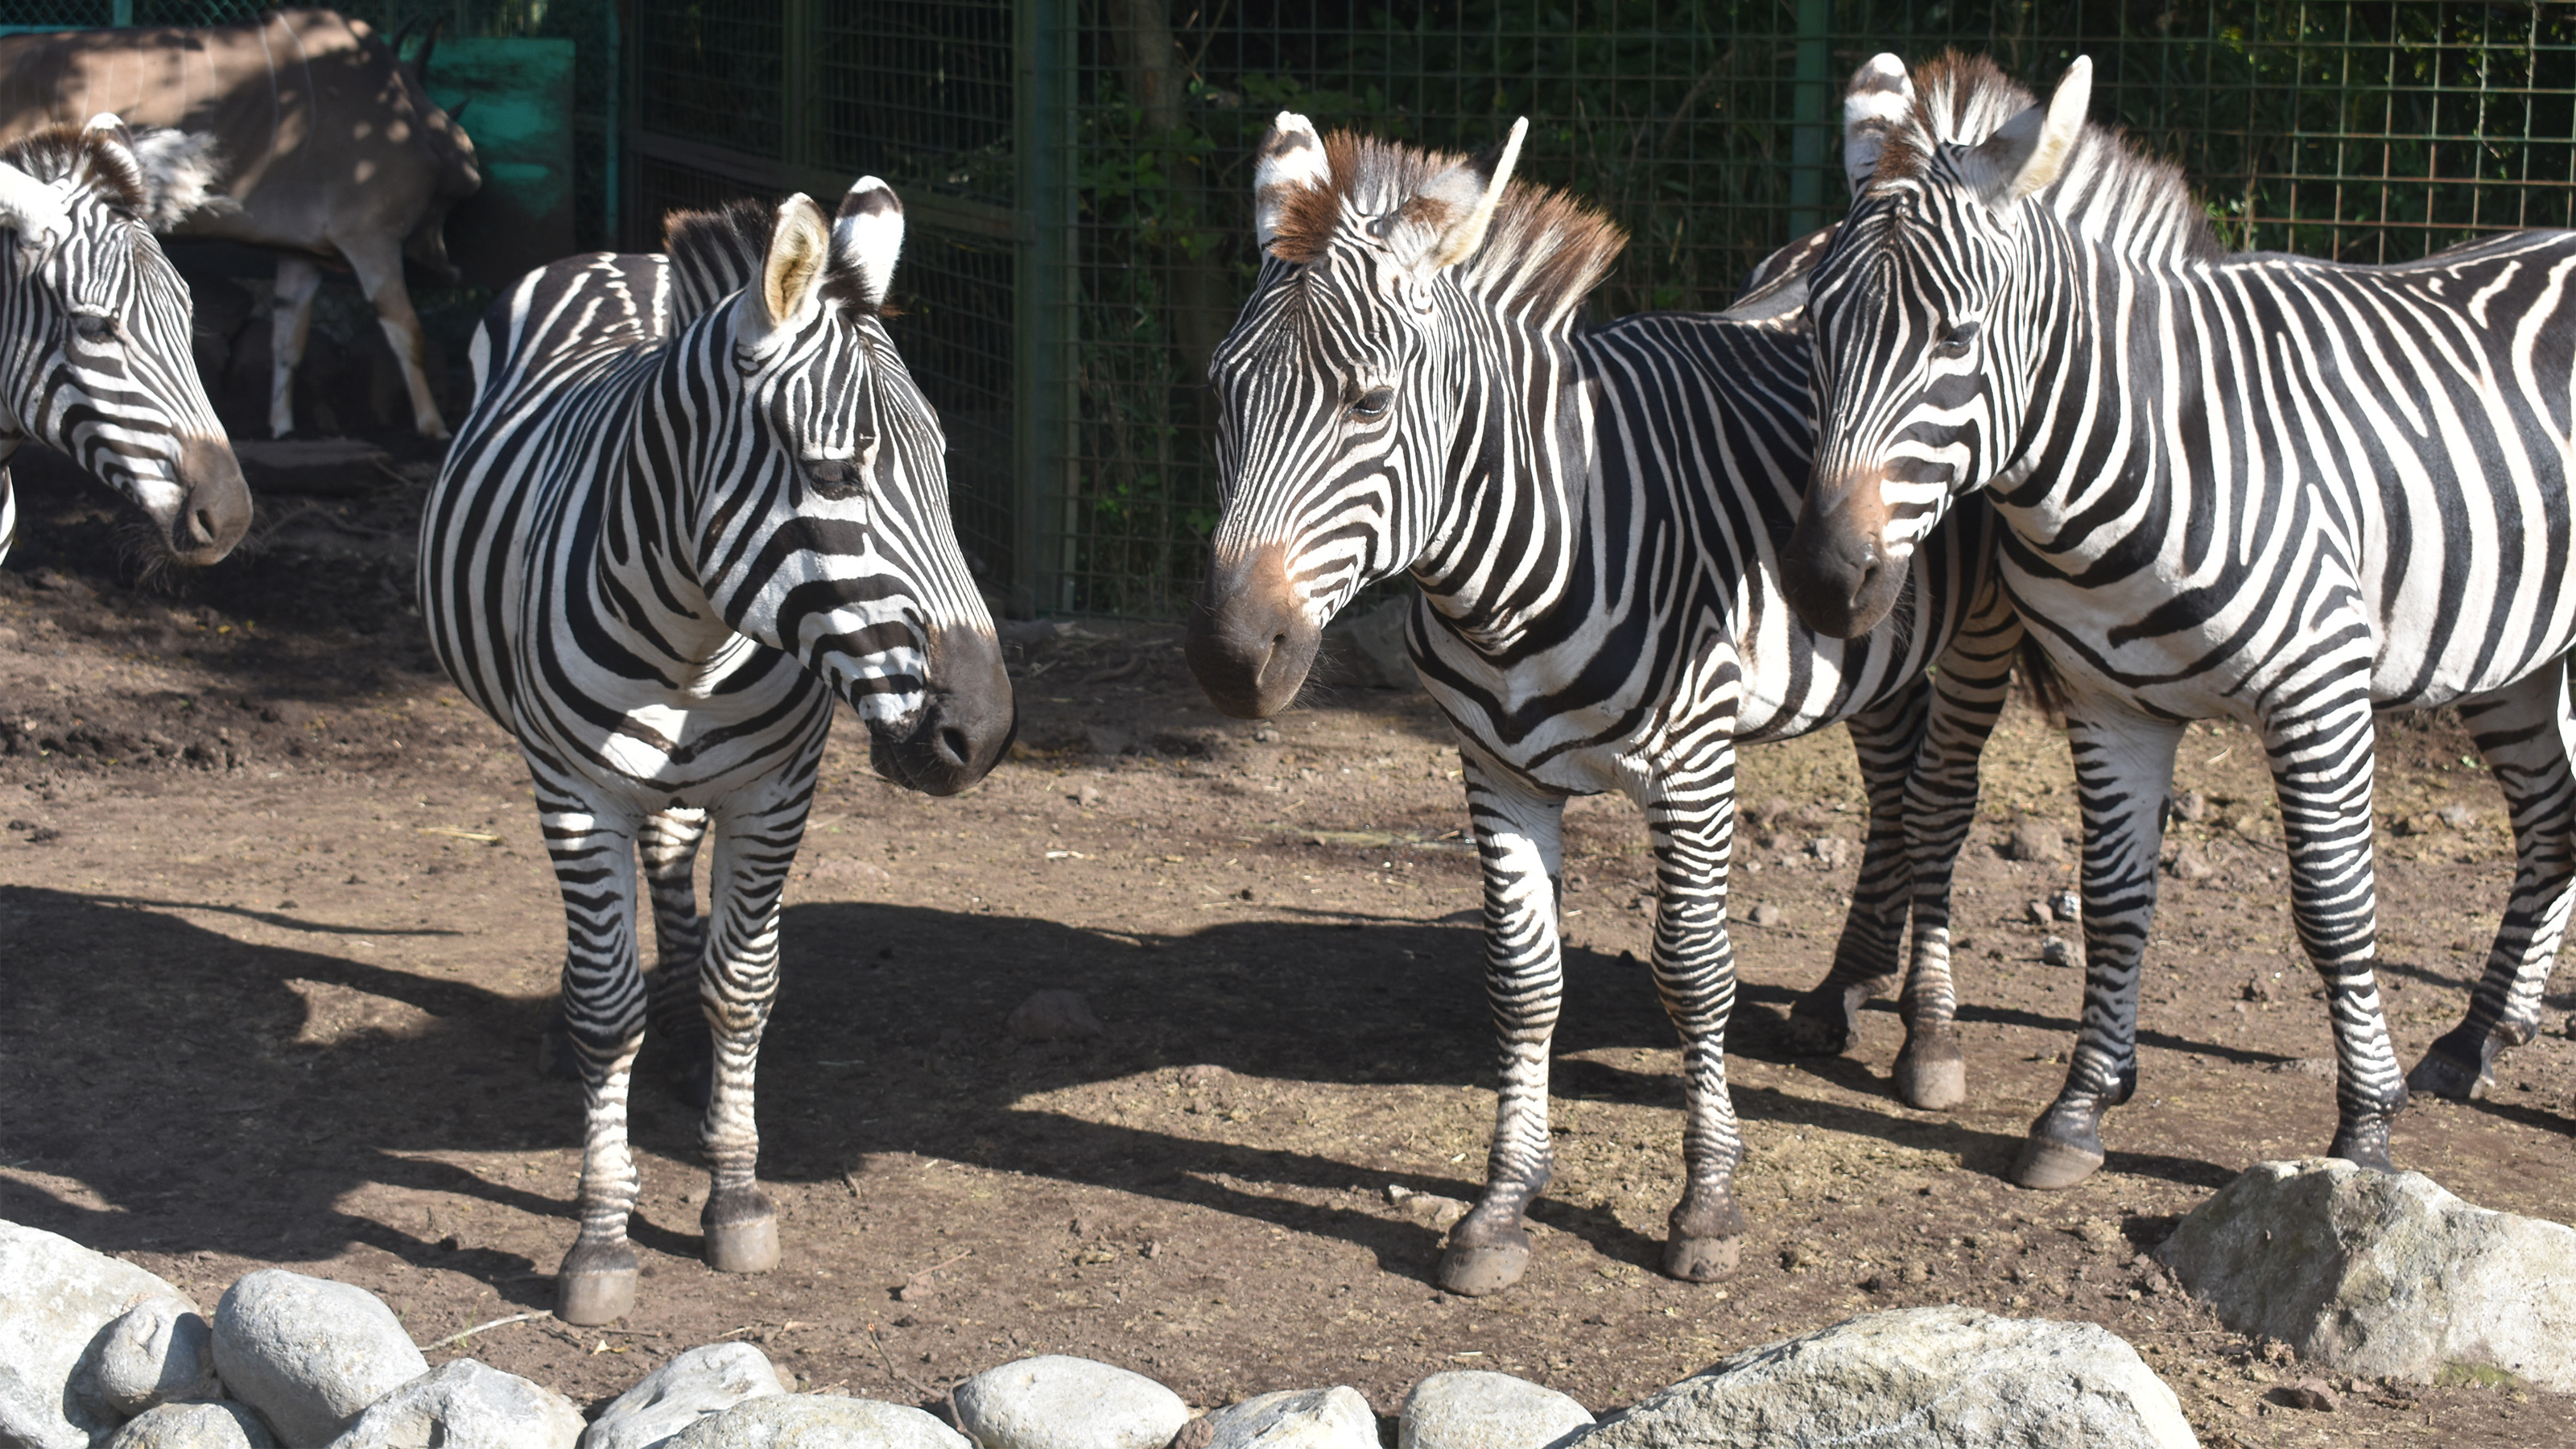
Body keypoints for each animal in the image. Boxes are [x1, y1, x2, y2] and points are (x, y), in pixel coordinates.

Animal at [417, 177, 1009, 1319]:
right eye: (834, 473)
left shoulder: (775, 789)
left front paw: (733, 1192)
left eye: (946, 473)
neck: (693, 634)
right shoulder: (575, 790)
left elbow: (743, 987)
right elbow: (606, 1004)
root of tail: (621, 257)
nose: (984, 732)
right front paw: (600, 1238)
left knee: (671, 860)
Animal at [1190, 113, 2029, 1284]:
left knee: (1943, 804)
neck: (1531, 555)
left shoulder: (1693, 769)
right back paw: (1841, 991)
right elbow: (1522, 981)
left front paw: (1707, 1206)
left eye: (1369, 403)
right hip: (1871, 635)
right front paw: (1501, 1207)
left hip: (1982, 626)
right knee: (1894, 794)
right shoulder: (1495, 772)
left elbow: (1695, 975)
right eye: (1218, 393)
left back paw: (1932, 1037)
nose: (1229, 659)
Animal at [1782, 53, 2576, 1186]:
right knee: (2552, 819)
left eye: (1955, 337)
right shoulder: (2107, 702)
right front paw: (2077, 1111)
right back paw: (2474, 1041)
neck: (2138, 448)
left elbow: (2333, 909)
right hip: (2514, 650)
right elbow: (2114, 902)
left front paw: (2362, 1131)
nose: (1821, 580)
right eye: (1814, 331)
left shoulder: (2317, 691)